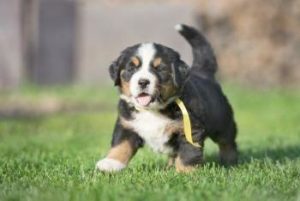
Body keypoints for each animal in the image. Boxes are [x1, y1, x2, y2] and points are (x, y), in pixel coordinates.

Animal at [96, 24, 237, 173]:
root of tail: (203, 73)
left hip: (223, 122)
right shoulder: (127, 124)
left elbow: (188, 153)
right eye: (131, 68)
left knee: (227, 142)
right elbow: (121, 144)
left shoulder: (191, 128)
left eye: (160, 69)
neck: (152, 110)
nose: (143, 82)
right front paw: (110, 163)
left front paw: (185, 172)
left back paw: (230, 162)